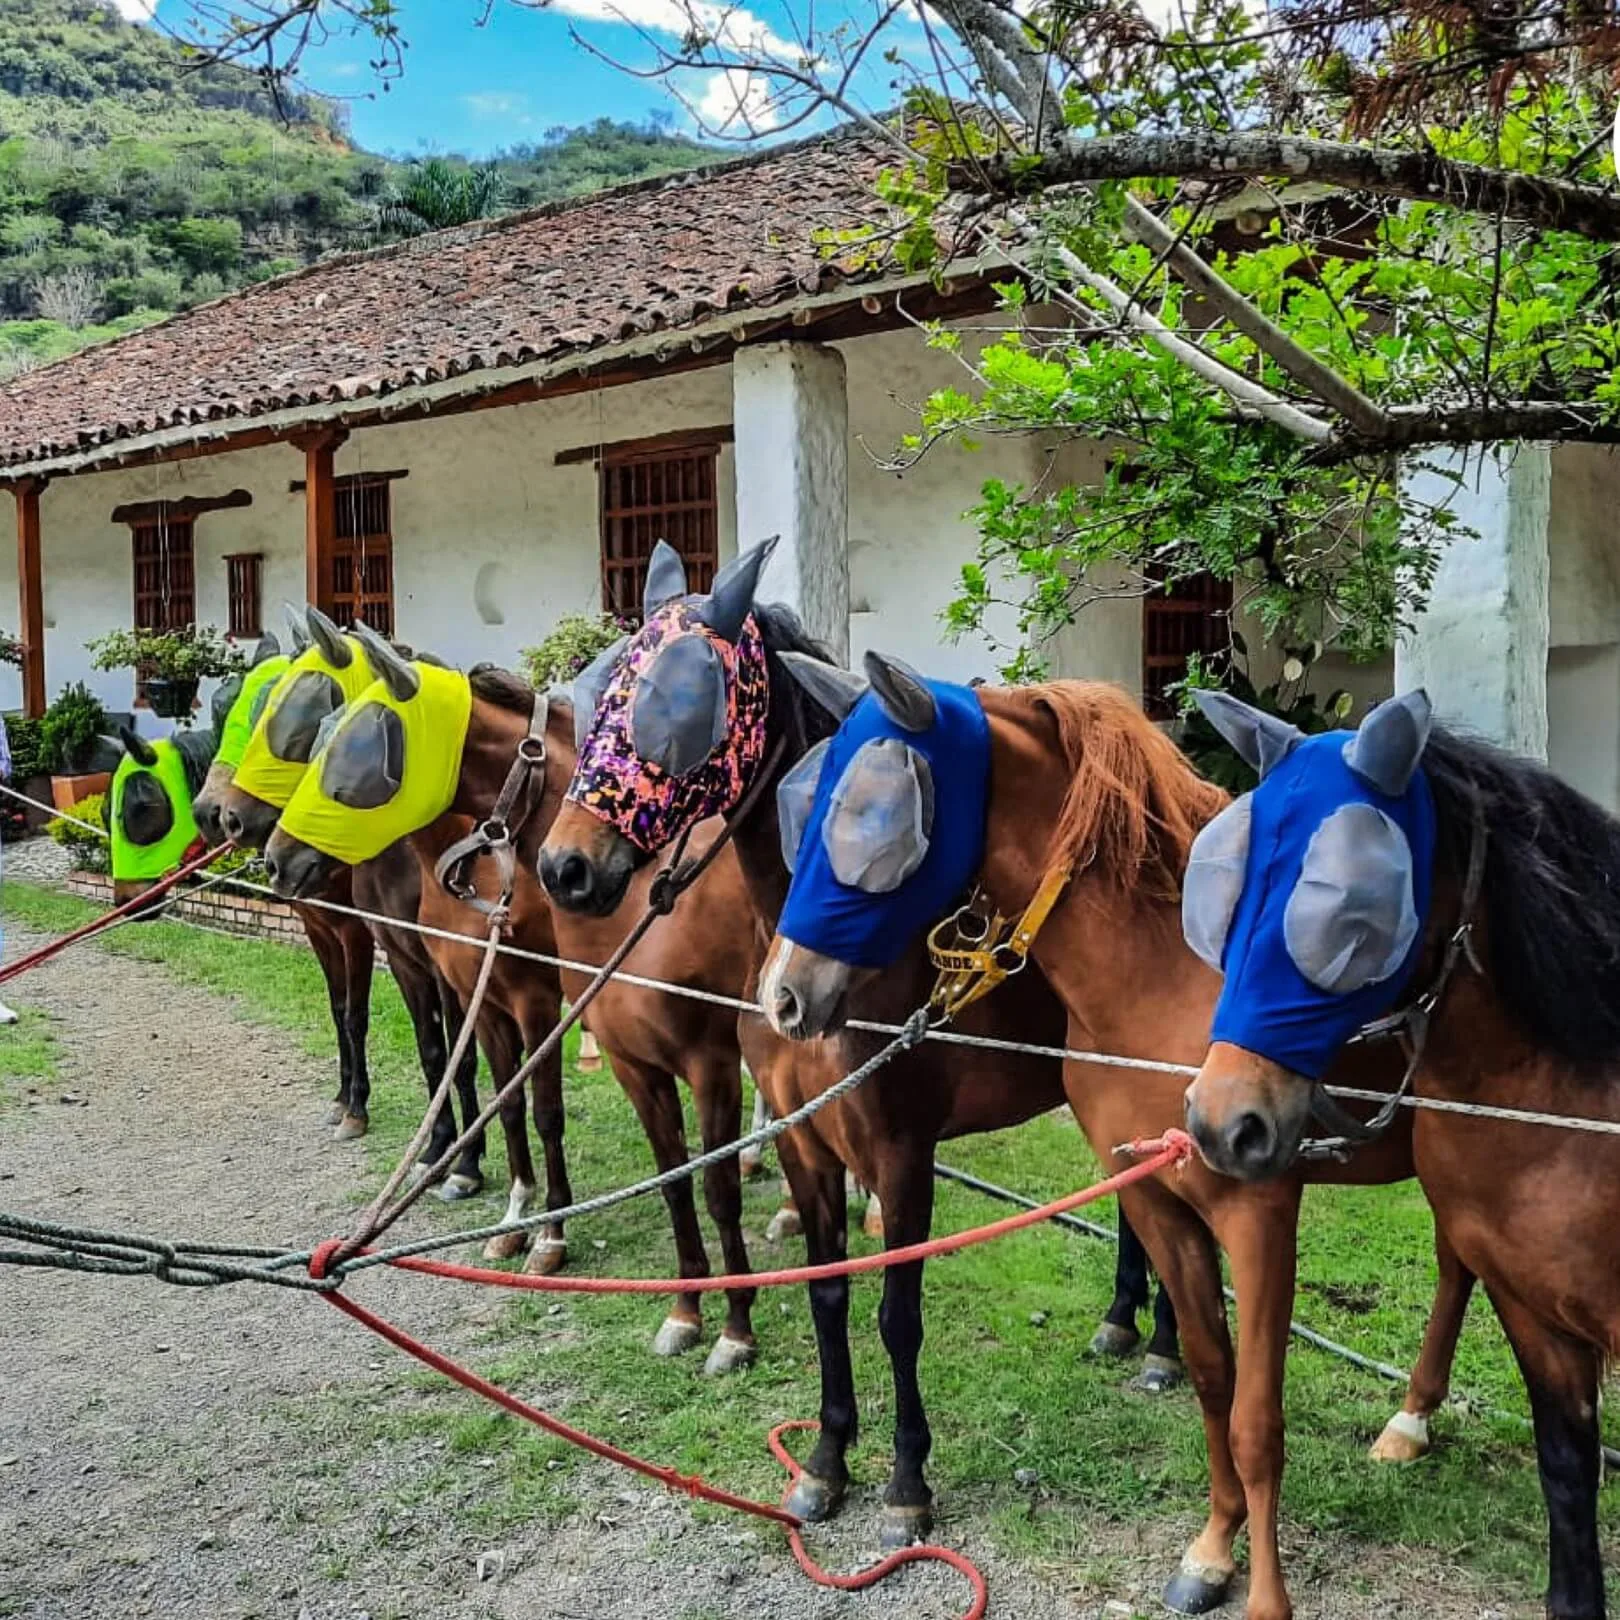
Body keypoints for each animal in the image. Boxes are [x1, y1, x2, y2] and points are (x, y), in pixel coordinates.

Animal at [192, 610, 486, 1191]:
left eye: (298, 717)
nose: (220, 815)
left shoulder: (373, 942)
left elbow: (427, 1044)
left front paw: (461, 1161)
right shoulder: (332, 933)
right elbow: (361, 1020)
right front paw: (350, 1103)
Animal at [260, 633, 765, 1369]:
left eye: (361, 741)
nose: (276, 858)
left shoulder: (668, 1047)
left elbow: (669, 1164)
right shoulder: (499, 1007)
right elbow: (518, 1110)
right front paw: (515, 1221)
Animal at [535, 540, 1194, 1553]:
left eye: (680, 700)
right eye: (595, 685)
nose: (565, 868)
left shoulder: (899, 1153)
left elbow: (896, 1315)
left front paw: (906, 1484)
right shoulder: (808, 1144)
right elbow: (828, 1296)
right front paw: (825, 1464)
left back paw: (1161, 1347)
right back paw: (1125, 1324)